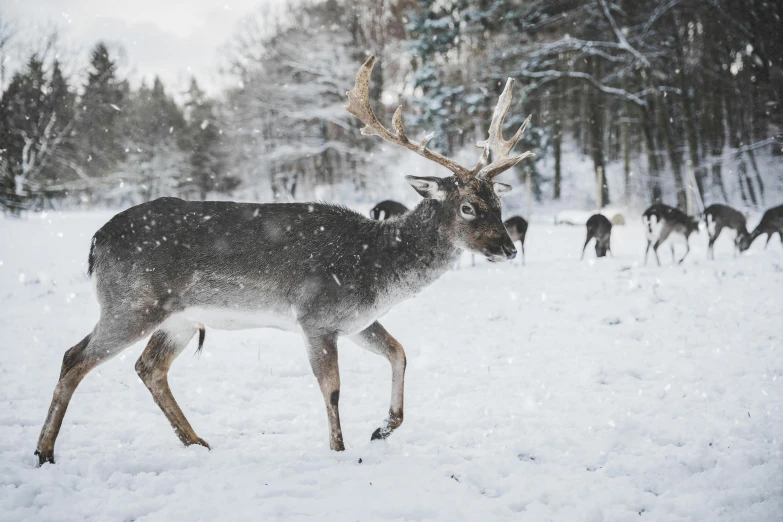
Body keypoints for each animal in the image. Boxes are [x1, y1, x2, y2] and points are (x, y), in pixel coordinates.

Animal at [33, 57, 536, 464]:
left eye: (497, 200)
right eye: (468, 206)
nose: (508, 248)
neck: (377, 269)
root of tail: (96, 241)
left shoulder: (355, 320)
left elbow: (400, 352)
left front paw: (382, 428)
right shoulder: (317, 316)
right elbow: (332, 389)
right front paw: (340, 451)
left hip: (178, 318)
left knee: (148, 367)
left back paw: (197, 442)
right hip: (132, 302)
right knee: (74, 357)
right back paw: (45, 452)